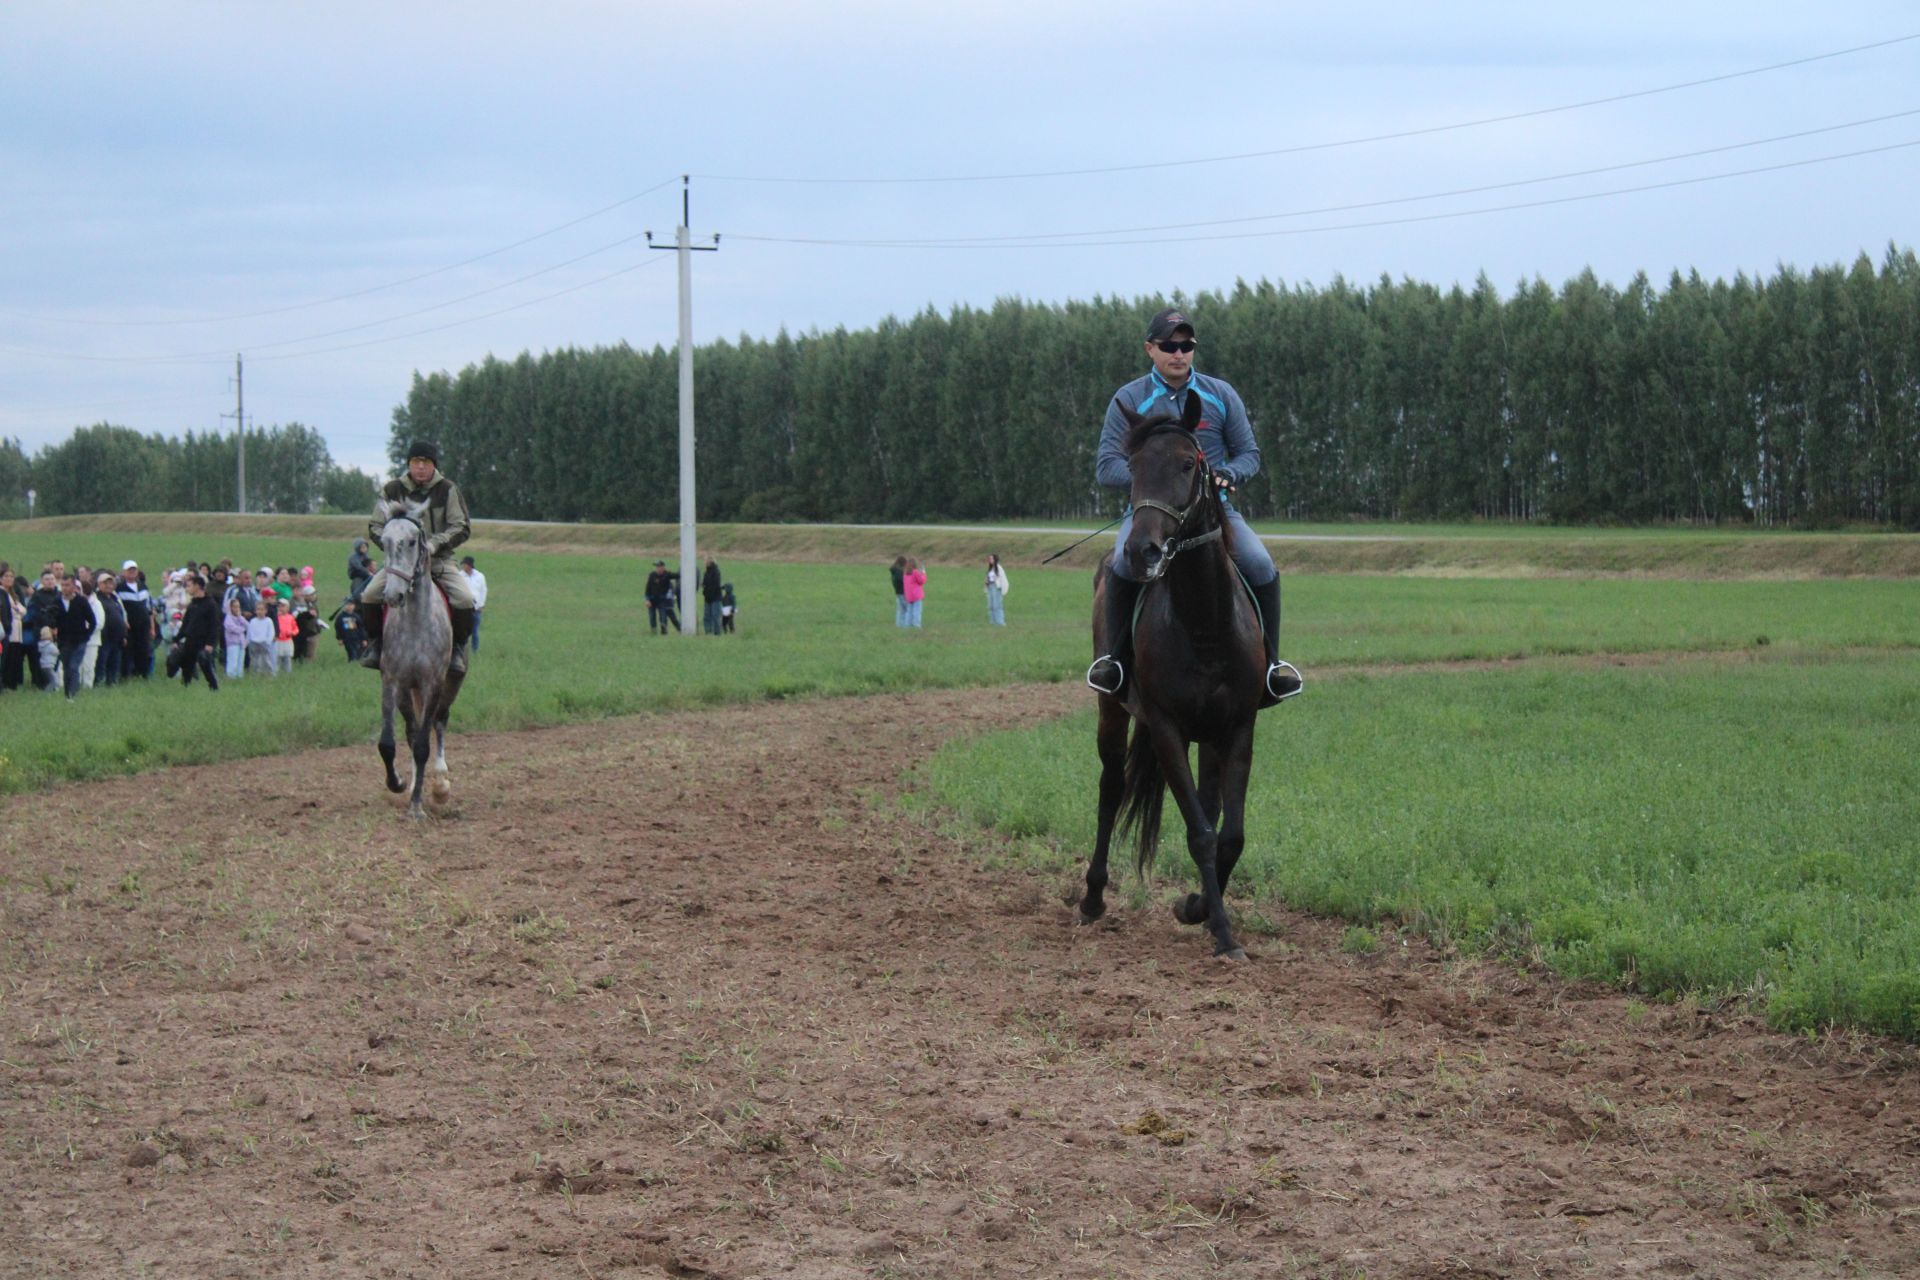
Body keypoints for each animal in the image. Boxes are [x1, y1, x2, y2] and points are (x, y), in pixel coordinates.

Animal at [372, 498, 466, 821]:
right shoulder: (392, 681)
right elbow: (389, 743)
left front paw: (417, 806)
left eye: (412, 541)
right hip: (407, 691)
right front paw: (400, 784)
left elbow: (425, 744)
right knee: (412, 733)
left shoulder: (432, 683)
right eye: (385, 541)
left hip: (449, 684)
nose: (393, 595)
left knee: (439, 722)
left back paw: (440, 784)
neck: (415, 622)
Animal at [1090, 395, 1267, 955]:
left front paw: (1200, 910)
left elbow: (1230, 834)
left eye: (1189, 464)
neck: (1204, 622)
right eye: (1132, 468)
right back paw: (1091, 899)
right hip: (1111, 709)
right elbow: (1200, 833)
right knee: (1111, 788)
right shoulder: (1167, 728)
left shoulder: (1237, 728)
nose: (1141, 552)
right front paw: (1223, 933)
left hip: (1207, 737)